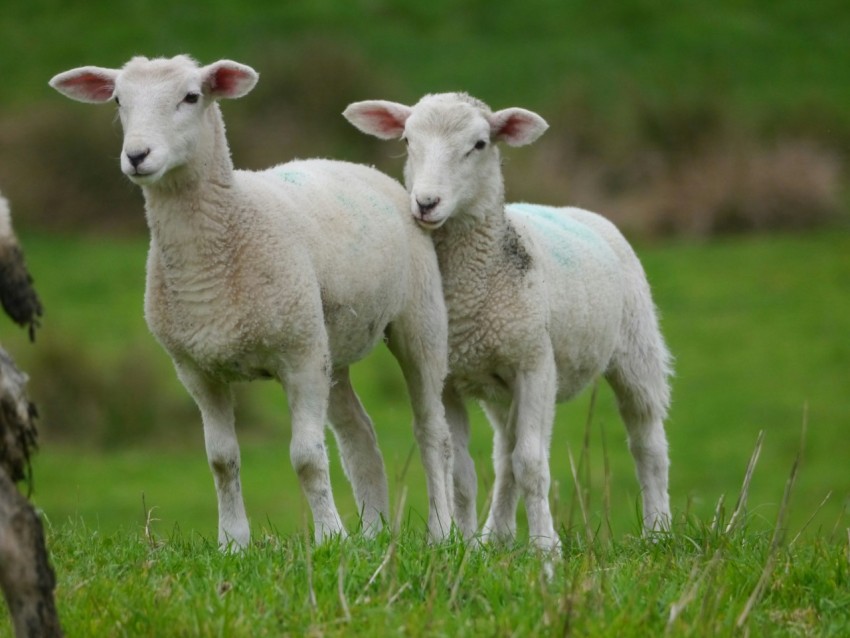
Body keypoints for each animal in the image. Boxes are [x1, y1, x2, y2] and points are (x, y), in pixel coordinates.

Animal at [49, 56, 458, 552]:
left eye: (192, 97)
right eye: (117, 100)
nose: (137, 156)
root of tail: (354, 164)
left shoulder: (299, 359)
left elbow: (306, 457)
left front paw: (328, 537)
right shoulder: (195, 370)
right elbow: (222, 459)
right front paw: (233, 543)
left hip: (417, 320)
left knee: (432, 430)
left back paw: (442, 531)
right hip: (328, 343)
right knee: (359, 433)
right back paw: (373, 532)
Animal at [342, 92, 668, 552]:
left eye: (479, 144)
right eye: (407, 140)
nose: (426, 203)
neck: (472, 291)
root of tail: (576, 210)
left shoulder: (535, 365)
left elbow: (531, 463)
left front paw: (546, 546)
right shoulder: (449, 380)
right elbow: (464, 472)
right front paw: (463, 544)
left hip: (635, 346)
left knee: (646, 440)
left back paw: (658, 530)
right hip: (501, 388)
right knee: (504, 452)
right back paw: (495, 535)